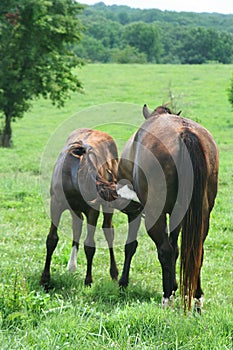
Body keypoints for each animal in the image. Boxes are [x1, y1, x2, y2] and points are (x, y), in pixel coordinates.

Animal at [40, 129, 119, 290]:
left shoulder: (92, 211)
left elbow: (89, 245)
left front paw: (88, 280)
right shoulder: (56, 204)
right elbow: (52, 239)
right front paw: (45, 279)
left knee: (108, 230)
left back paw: (114, 273)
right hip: (74, 209)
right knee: (77, 226)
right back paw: (71, 266)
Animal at [113, 105, 218, 310]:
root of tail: (185, 133)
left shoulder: (135, 210)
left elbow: (131, 245)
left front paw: (123, 282)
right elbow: (176, 247)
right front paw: (176, 285)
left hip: (155, 212)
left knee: (164, 250)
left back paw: (167, 296)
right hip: (202, 214)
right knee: (195, 251)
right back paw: (196, 297)